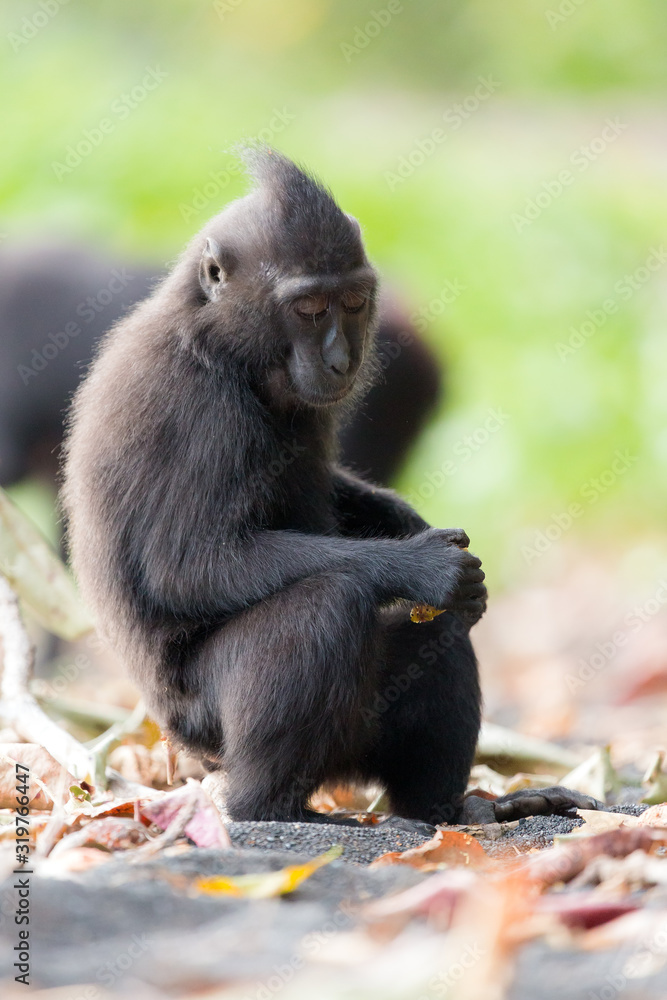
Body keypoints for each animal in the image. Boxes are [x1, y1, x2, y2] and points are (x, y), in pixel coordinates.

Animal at [62, 149, 594, 825]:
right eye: (310, 309)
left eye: (355, 301)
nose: (342, 361)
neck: (221, 344)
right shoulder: (202, 411)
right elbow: (187, 565)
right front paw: (418, 565)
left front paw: (405, 524)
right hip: (208, 728)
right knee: (330, 603)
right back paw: (269, 805)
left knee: (438, 634)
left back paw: (454, 811)